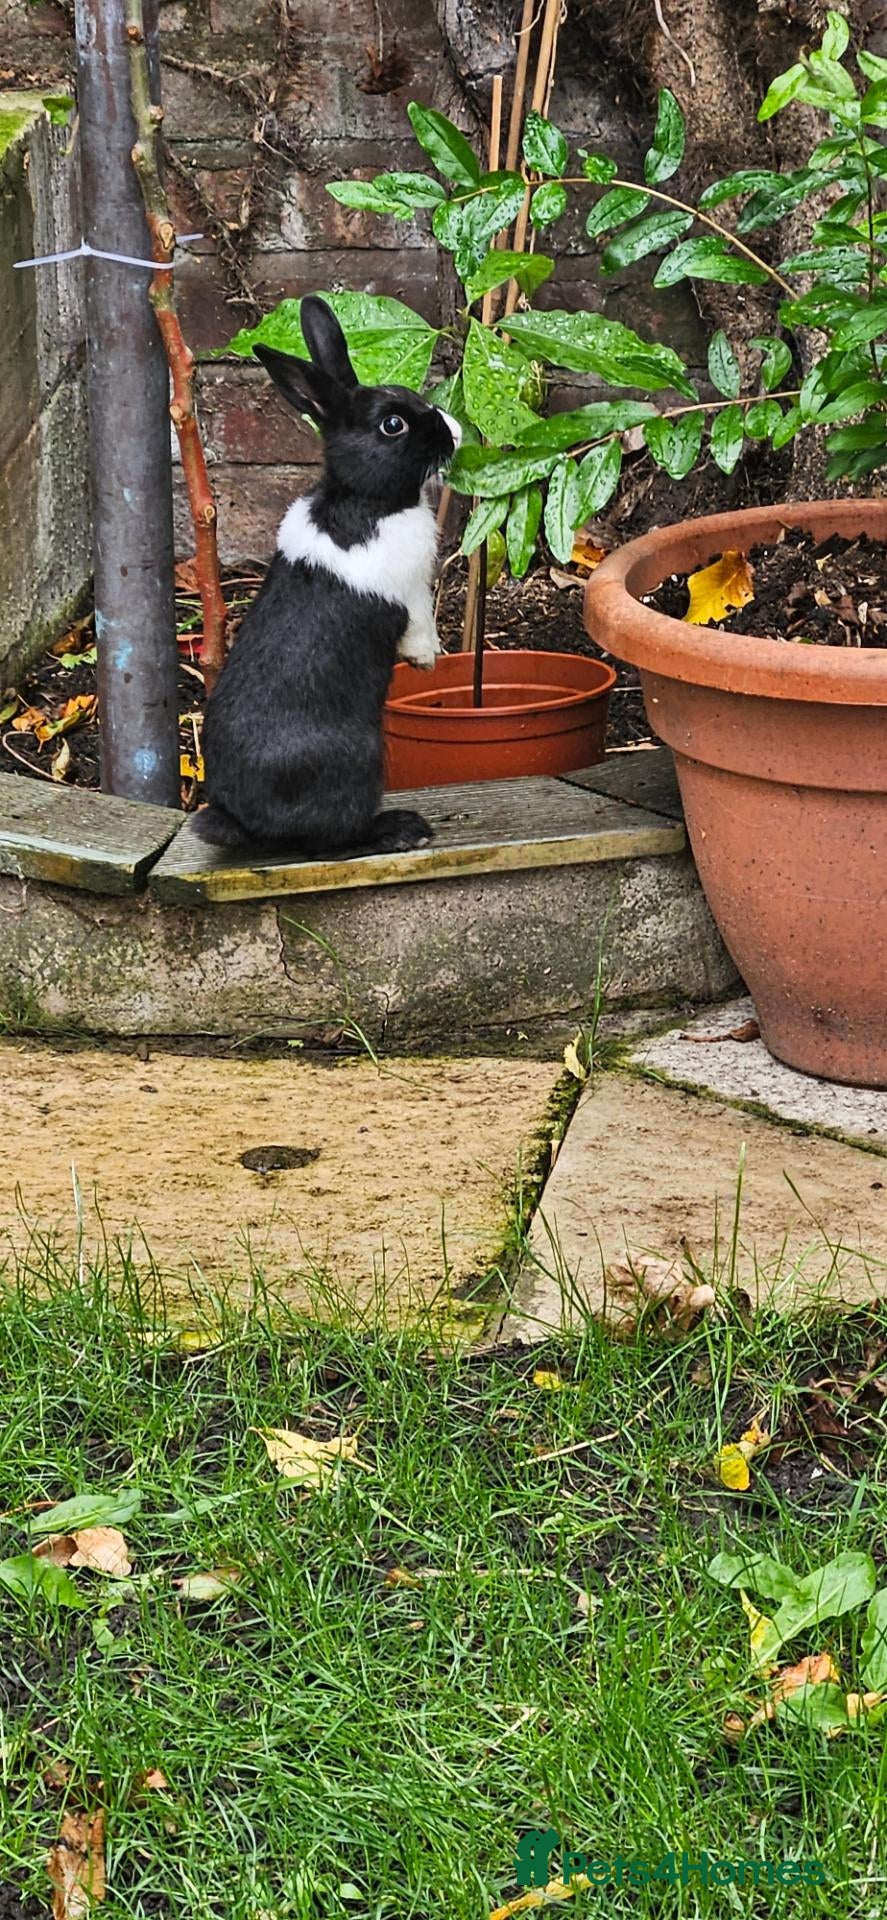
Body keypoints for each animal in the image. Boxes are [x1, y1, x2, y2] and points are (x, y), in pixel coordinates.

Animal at [192, 294, 462, 856]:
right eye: (393, 425)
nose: (452, 428)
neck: (364, 500)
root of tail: (244, 821)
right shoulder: (408, 590)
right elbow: (420, 623)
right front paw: (426, 661)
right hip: (361, 759)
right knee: (333, 840)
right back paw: (401, 829)